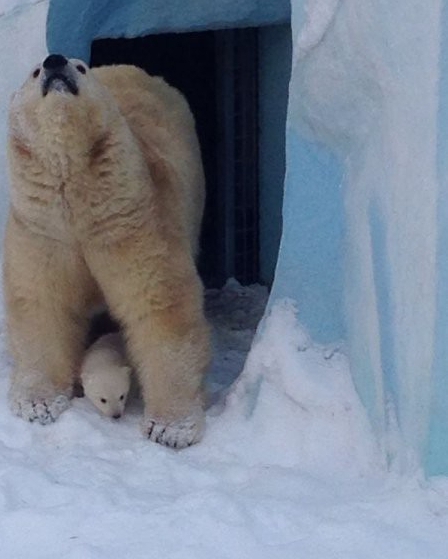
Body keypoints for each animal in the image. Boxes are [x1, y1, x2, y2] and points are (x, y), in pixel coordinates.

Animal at [3, 54, 210, 450]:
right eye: (35, 72)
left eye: (79, 67)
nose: (55, 62)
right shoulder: (44, 229)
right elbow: (42, 302)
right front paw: (38, 403)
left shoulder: (131, 221)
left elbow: (159, 305)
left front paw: (169, 428)